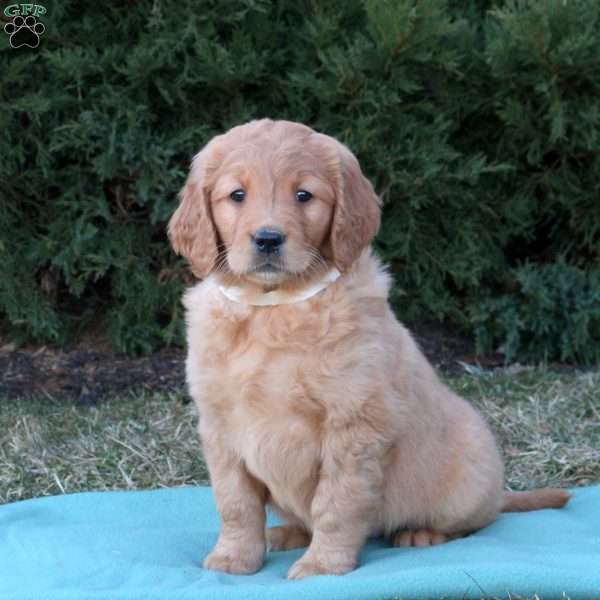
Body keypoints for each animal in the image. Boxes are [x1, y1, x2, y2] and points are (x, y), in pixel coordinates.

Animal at [166, 119, 568, 580]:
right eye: (237, 195)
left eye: (303, 195)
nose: (268, 239)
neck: (275, 308)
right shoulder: (220, 426)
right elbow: (236, 503)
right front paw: (234, 558)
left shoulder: (354, 422)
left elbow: (335, 504)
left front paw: (323, 566)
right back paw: (286, 533)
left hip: (470, 471)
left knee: (476, 521)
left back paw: (421, 533)